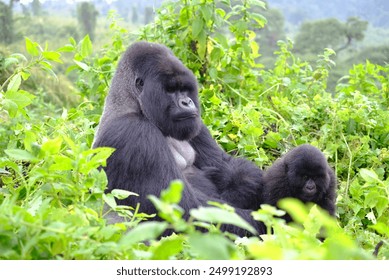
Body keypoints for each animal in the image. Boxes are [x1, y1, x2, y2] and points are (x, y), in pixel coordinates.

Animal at [92, 41, 334, 236]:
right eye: (170, 90)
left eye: (184, 89)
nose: (187, 102)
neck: (135, 105)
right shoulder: (134, 134)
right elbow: (184, 212)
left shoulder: (195, 123)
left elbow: (228, 166)